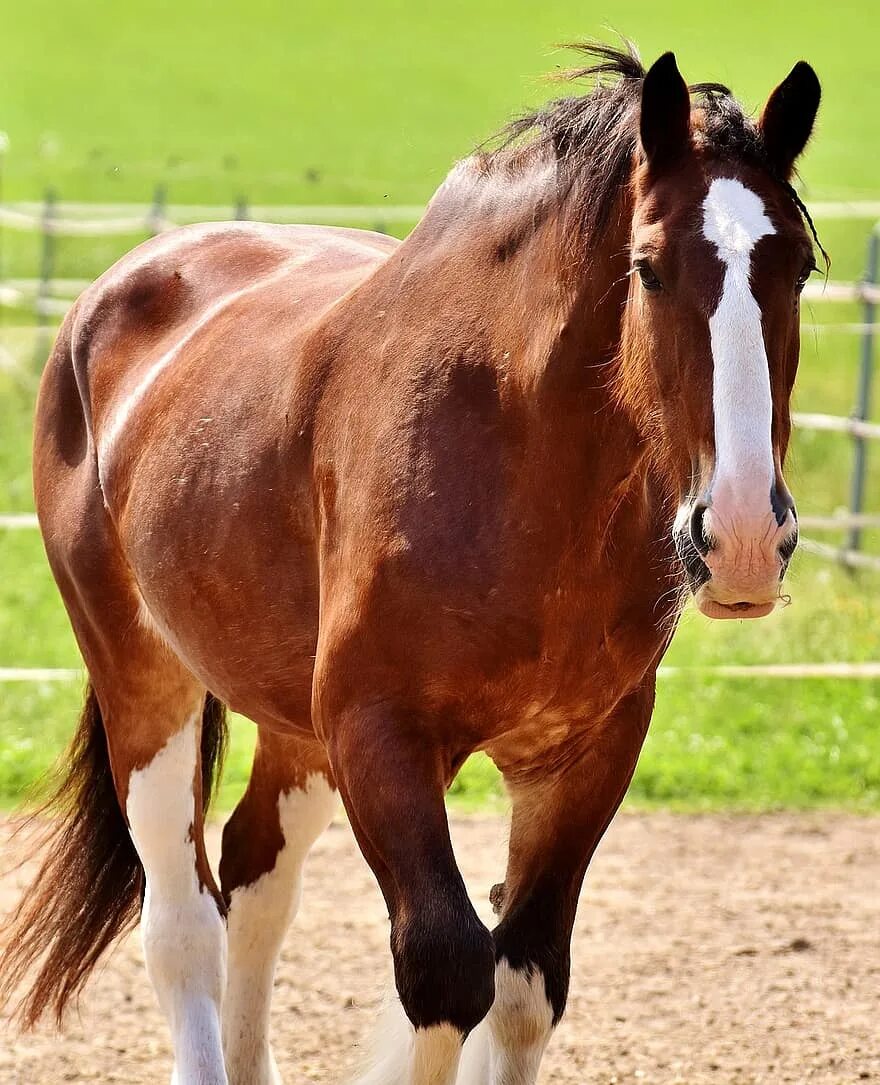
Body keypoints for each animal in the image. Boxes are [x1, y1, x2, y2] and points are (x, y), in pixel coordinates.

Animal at [1, 42, 824, 1085]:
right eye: (648, 268)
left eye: (799, 269)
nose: (746, 537)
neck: (521, 458)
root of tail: (107, 296)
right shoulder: (379, 734)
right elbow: (444, 970)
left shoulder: (585, 752)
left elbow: (524, 981)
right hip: (145, 681)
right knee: (183, 921)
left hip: (297, 726)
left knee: (256, 875)